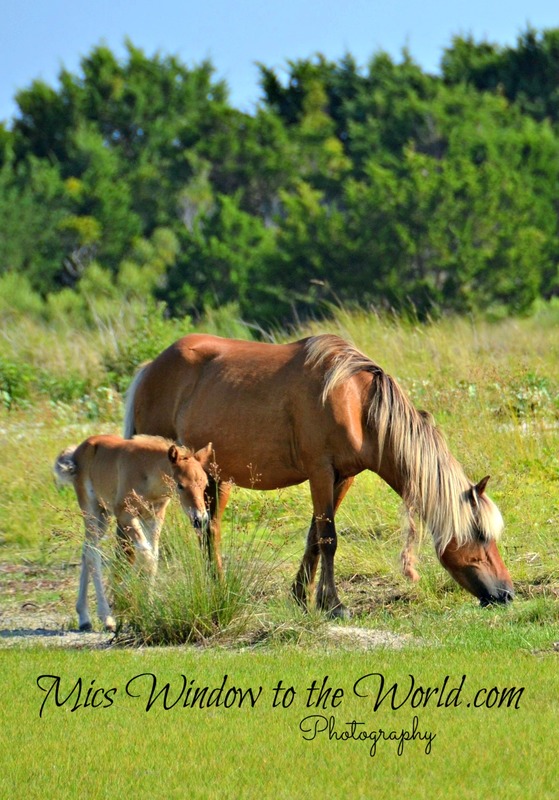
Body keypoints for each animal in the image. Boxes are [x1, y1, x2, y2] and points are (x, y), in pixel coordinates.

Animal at [54, 434, 213, 631]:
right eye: (180, 485)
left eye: (205, 484)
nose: (200, 519)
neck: (147, 473)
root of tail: (76, 452)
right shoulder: (125, 515)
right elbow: (146, 554)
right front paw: (122, 595)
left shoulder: (155, 517)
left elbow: (153, 557)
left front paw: (149, 609)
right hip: (90, 509)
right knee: (93, 554)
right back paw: (106, 617)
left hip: (103, 515)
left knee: (86, 551)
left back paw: (84, 617)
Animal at [123, 333, 514, 617]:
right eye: (480, 535)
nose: (506, 593)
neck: (355, 401)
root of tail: (150, 368)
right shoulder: (320, 471)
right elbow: (328, 538)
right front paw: (334, 605)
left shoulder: (343, 477)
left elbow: (314, 535)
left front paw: (300, 596)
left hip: (214, 479)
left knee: (210, 530)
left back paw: (216, 586)